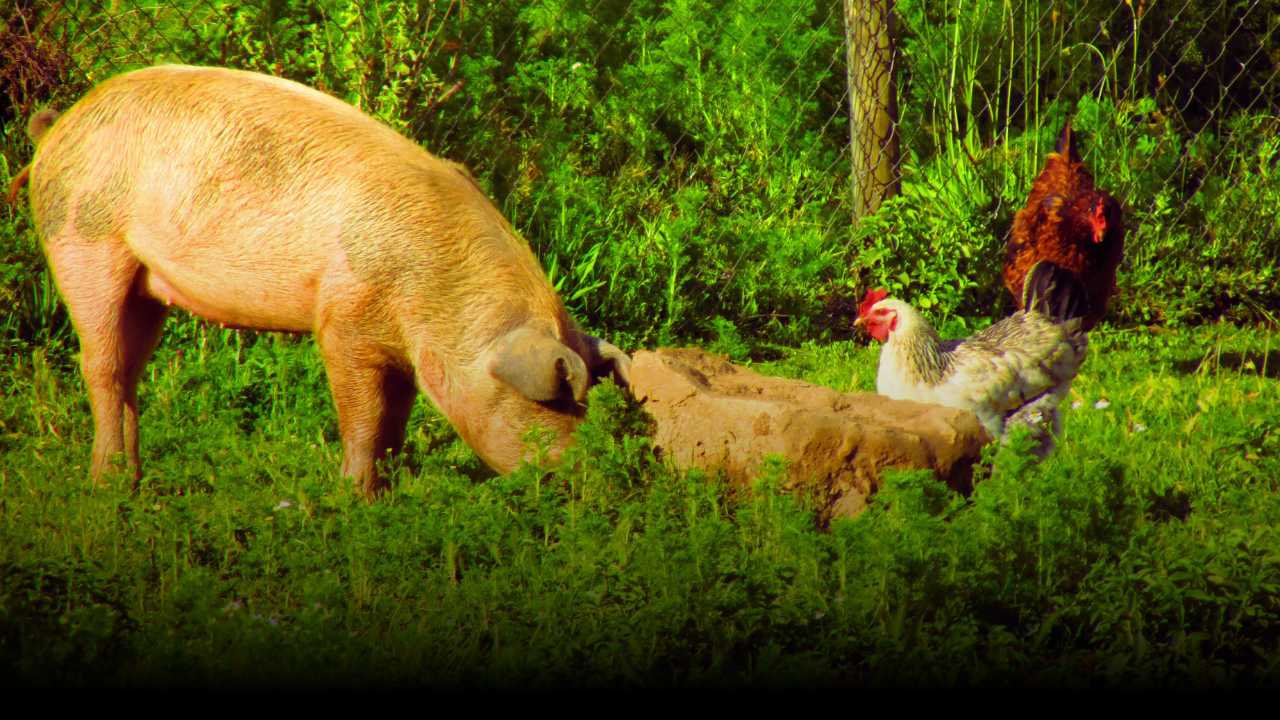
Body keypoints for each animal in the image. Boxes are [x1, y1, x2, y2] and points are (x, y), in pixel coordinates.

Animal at [12, 64, 630, 494]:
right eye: (560, 401)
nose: (590, 479)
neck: (439, 296)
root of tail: (59, 125)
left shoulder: (401, 351)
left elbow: (396, 420)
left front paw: (390, 492)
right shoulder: (345, 320)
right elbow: (363, 415)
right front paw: (353, 497)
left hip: (148, 285)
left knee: (132, 366)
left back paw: (134, 479)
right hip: (82, 241)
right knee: (102, 364)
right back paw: (108, 483)